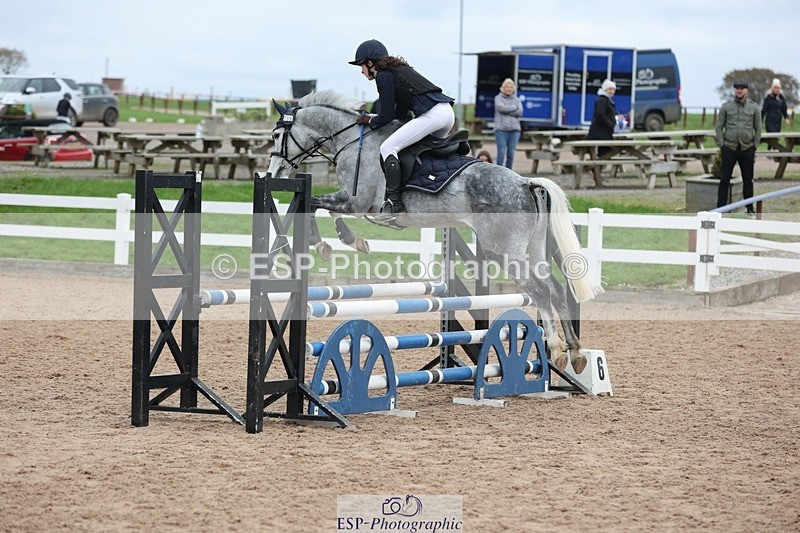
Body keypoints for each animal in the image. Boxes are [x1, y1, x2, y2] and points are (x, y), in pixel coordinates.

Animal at [266, 90, 603, 373]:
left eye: (276, 135)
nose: (272, 173)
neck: (351, 140)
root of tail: (525, 183)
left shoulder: (356, 201)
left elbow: (315, 205)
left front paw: (331, 242)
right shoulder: (352, 203)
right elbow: (324, 209)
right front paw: (348, 241)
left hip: (505, 252)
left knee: (541, 291)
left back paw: (557, 349)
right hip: (531, 251)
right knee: (557, 290)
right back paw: (575, 352)